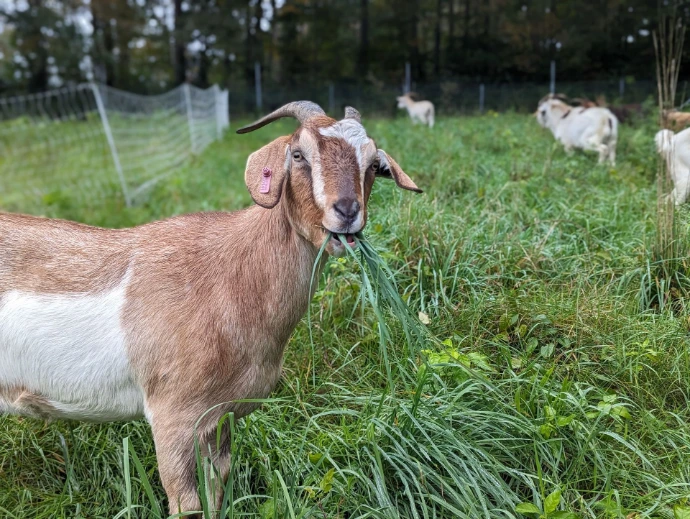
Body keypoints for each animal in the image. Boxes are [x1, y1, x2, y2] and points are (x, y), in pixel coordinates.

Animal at [0, 101, 421, 515]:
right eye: (298, 154)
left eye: (373, 164)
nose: (347, 211)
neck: (231, 276)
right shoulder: (173, 414)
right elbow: (187, 504)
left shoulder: (220, 418)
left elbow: (216, 490)